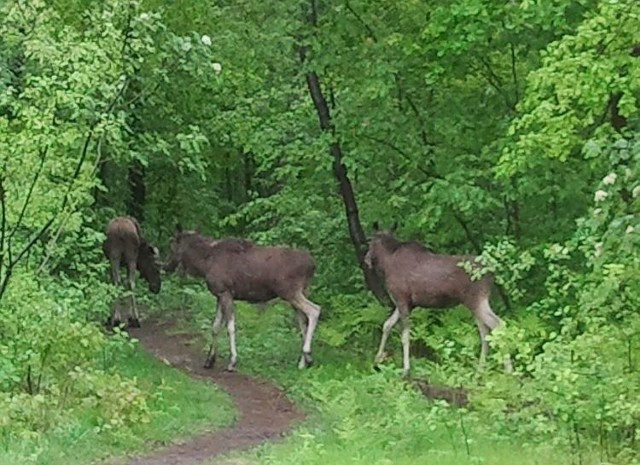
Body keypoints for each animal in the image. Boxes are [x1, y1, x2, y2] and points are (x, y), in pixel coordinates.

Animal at [364, 221, 510, 376]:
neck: (386, 263)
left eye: (370, 242)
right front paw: (377, 359)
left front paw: (406, 369)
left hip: (476, 300)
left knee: (498, 324)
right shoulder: (407, 303)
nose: (366, 259)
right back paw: (480, 370)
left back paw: (508, 371)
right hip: (475, 304)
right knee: (485, 332)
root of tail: (492, 272)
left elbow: (404, 336)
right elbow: (387, 325)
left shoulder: (401, 299)